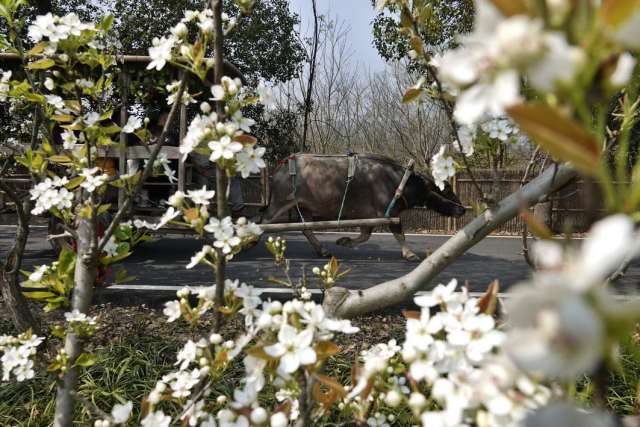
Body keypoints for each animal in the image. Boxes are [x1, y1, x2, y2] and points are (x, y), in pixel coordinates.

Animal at [260, 154, 464, 260]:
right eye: (446, 190)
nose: (462, 209)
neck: (400, 183)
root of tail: (278, 168)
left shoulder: (370, 216)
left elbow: (365, 235)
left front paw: (344, 241)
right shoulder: (389, 213)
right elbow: (400, 233)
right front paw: (410, 254)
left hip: (304, 207)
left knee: (306, 229)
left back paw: (323, 251)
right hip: (278, 203)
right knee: (262, 221)